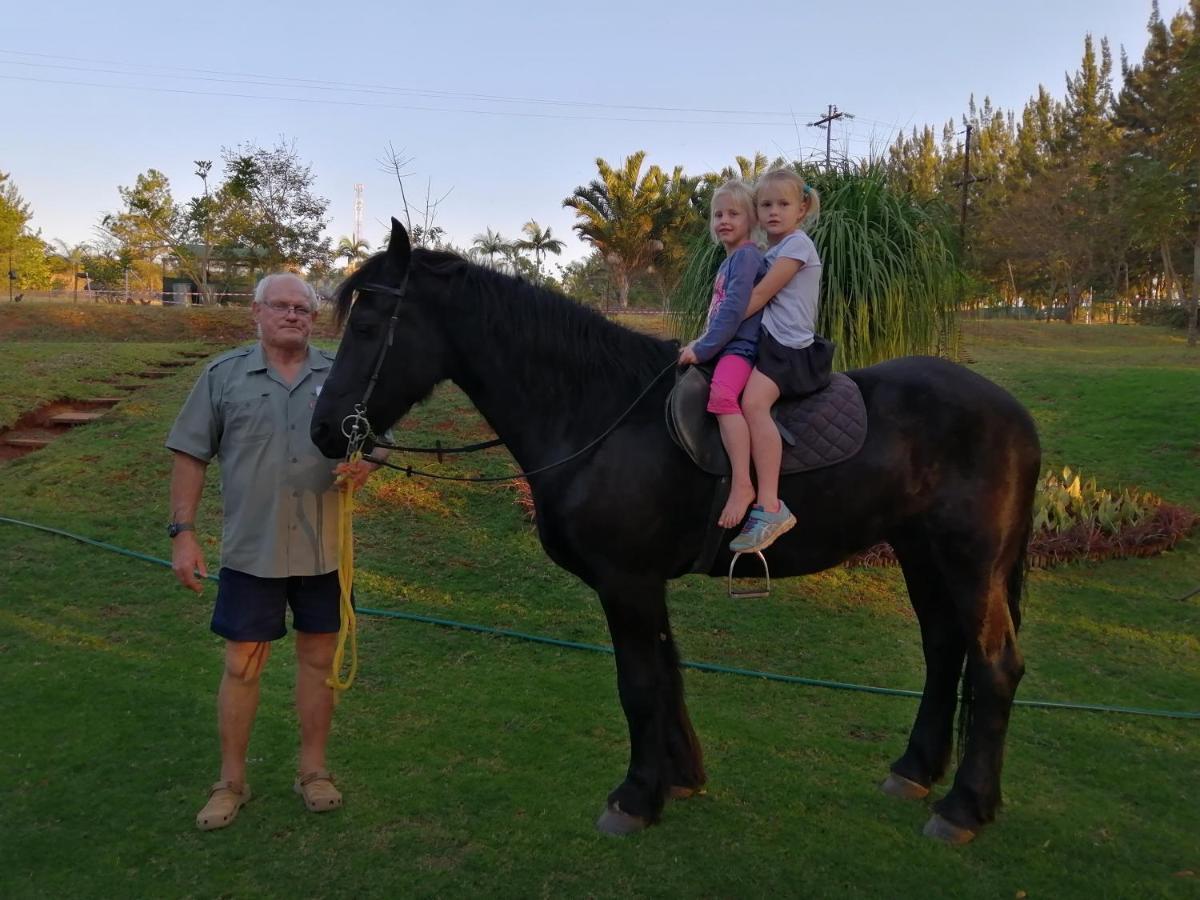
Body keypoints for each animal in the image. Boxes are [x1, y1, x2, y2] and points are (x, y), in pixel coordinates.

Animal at [312, 218, 1041, 844]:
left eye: (369, 324)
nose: (324, 430)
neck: (599, 414)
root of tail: (1013, 413)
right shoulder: (643, 585)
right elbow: (667, 672)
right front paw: (680, 776)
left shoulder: (627, 582)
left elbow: (638, 683)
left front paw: (636, 797)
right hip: (922, 554)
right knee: (944, 650)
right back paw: (915, 771)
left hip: (970, 564)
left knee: (994, 666)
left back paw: (964, 806)